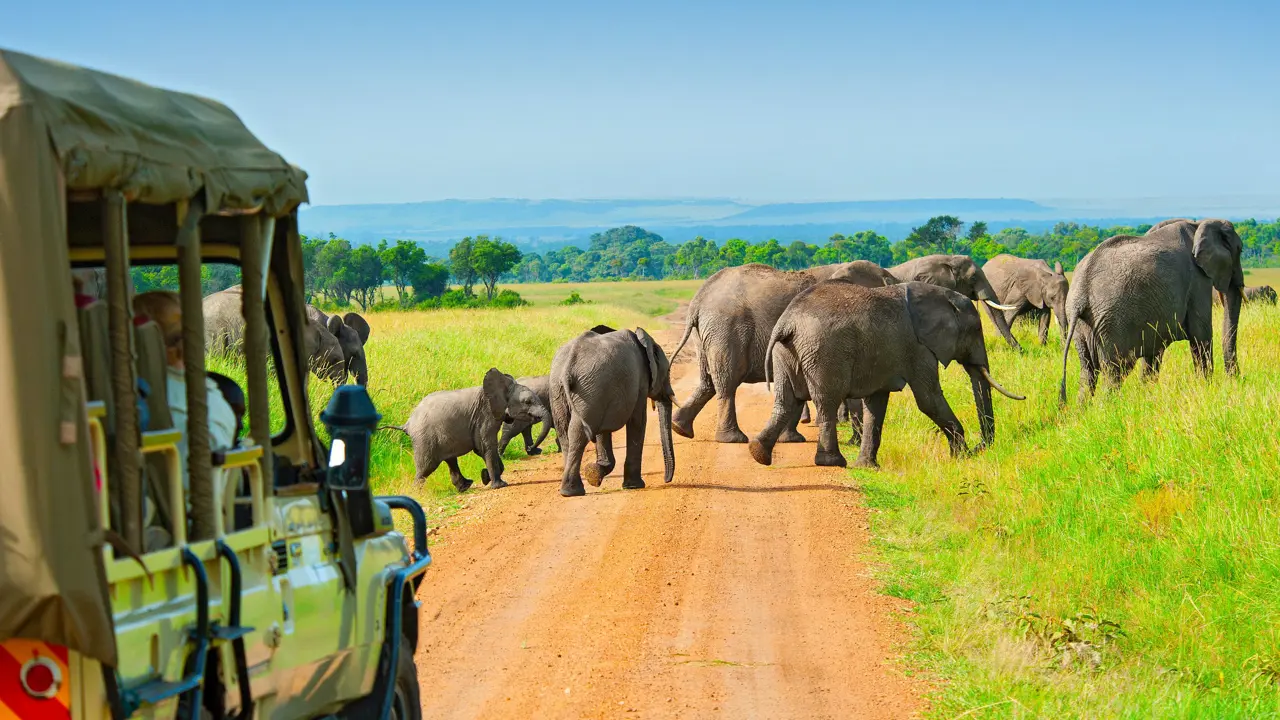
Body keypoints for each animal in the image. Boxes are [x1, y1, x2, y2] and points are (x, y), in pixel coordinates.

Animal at [385, 368, 546, 492]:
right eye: (528, 402)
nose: (531, 449)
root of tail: (407, 423)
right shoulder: (485, 416)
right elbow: (485, 447)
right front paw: (499, 485)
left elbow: (482, 449)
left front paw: (485, 477)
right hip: (424, 438)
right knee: (426, 468)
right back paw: (417, 494)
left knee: (450, 461)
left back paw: (465, 486)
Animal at [549, 326, 676, 497]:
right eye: (668, 370)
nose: (666, 480)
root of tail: (568, 364)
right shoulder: (640, 382)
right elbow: (638, 421)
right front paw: (633, 486)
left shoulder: (606, 394)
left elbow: (603, 431)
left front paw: (594, 474)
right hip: (588, 390)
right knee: (578, 433)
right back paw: (572, 491)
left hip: (564, 390)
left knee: (565, 433)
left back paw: (570, 490)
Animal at [668, 261, 896, 443]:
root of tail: (698, 300)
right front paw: (853, 442)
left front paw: (791, 439)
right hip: (726, 329)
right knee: (727, 381)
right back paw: (732, 439)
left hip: (707, 333)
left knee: (708, 381)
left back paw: (680, 428)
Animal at [748, 280, 1025, 470]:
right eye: (976, 329)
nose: (980, 448)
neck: (941, 296)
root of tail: (787, 322)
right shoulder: (919, 348)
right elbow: (928, 399)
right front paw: (961, 457)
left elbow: (877, 404)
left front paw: (868, 467)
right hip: (823, 352)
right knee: (826, 402)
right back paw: (833, 462)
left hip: (787, 353)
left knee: (786, 401)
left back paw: (757, 453)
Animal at [1060, 218, 1243, 404]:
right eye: (1240, 249)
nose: (1235, 380)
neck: (1197, 224)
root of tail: (1080, 293)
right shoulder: (1198, 280)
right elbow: (1201, 336)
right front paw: (1206, 388)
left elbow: (1153, 353)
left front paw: (1147, 396)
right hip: (1112, 324)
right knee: (1115, 372)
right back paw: (1107, 407)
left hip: (1084, 326)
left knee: (1088, 373)